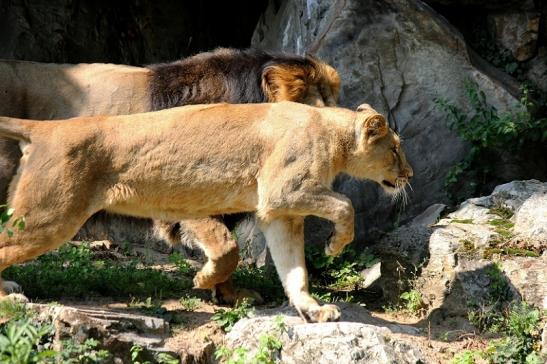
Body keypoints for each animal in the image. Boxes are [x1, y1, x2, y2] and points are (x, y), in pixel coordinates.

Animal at [0, 100, 412, 322]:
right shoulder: (284, 191)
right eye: (394, 149)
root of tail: (46, 128)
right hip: (49, 217)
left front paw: (311, 309)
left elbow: (293, 270)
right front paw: (334, 246)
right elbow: (345, 205)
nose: (409, 174)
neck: (332, 133)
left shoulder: (277, 213)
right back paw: (9, 297)